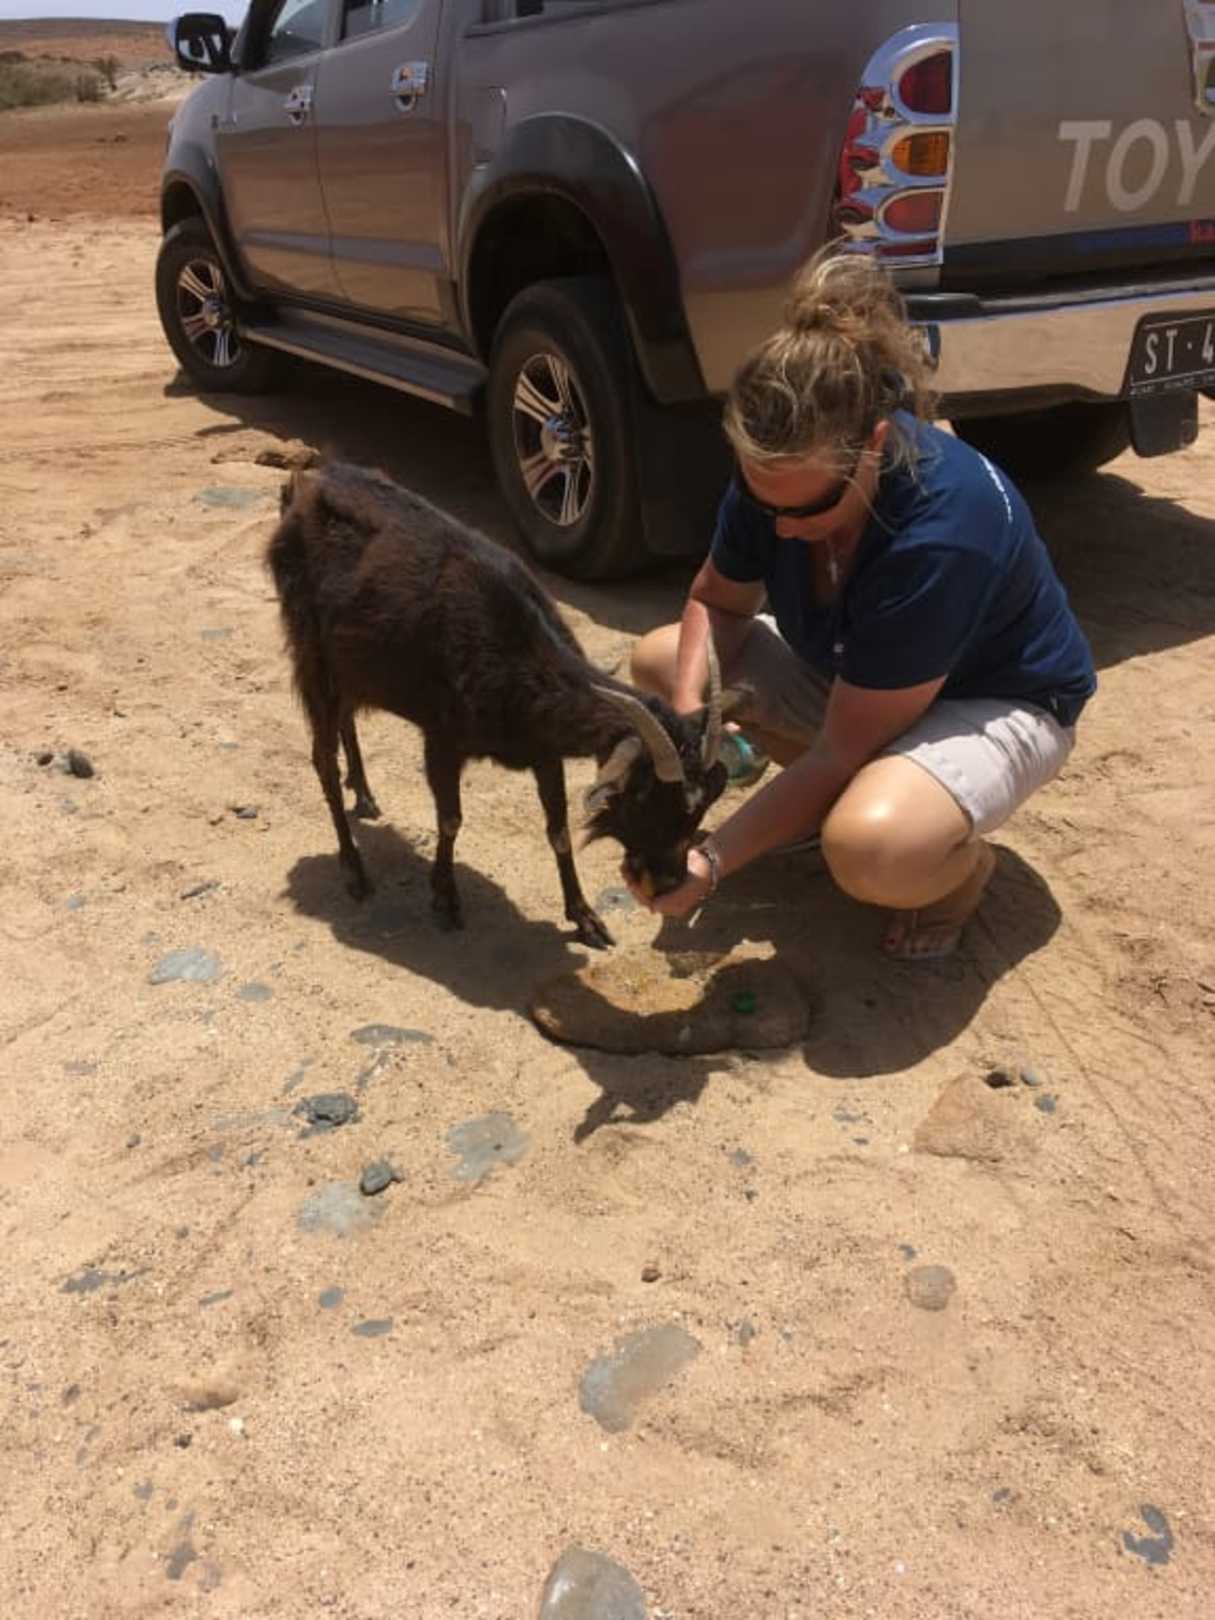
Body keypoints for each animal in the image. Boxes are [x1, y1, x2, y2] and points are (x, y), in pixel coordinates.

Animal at [265, 461, 739, 948]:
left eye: (700, 809)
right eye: (644, 796)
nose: (666, 884)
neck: (518, 656)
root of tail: (306, 484)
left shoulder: (545, 750)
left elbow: (558, 831)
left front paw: (584, 916)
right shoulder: (442, 739)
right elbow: (451, 819)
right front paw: (445, 898)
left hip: (353, 667)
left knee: (346, 721)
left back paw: (363, 792)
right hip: (313, 655)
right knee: (322, 758)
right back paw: (354, 869)